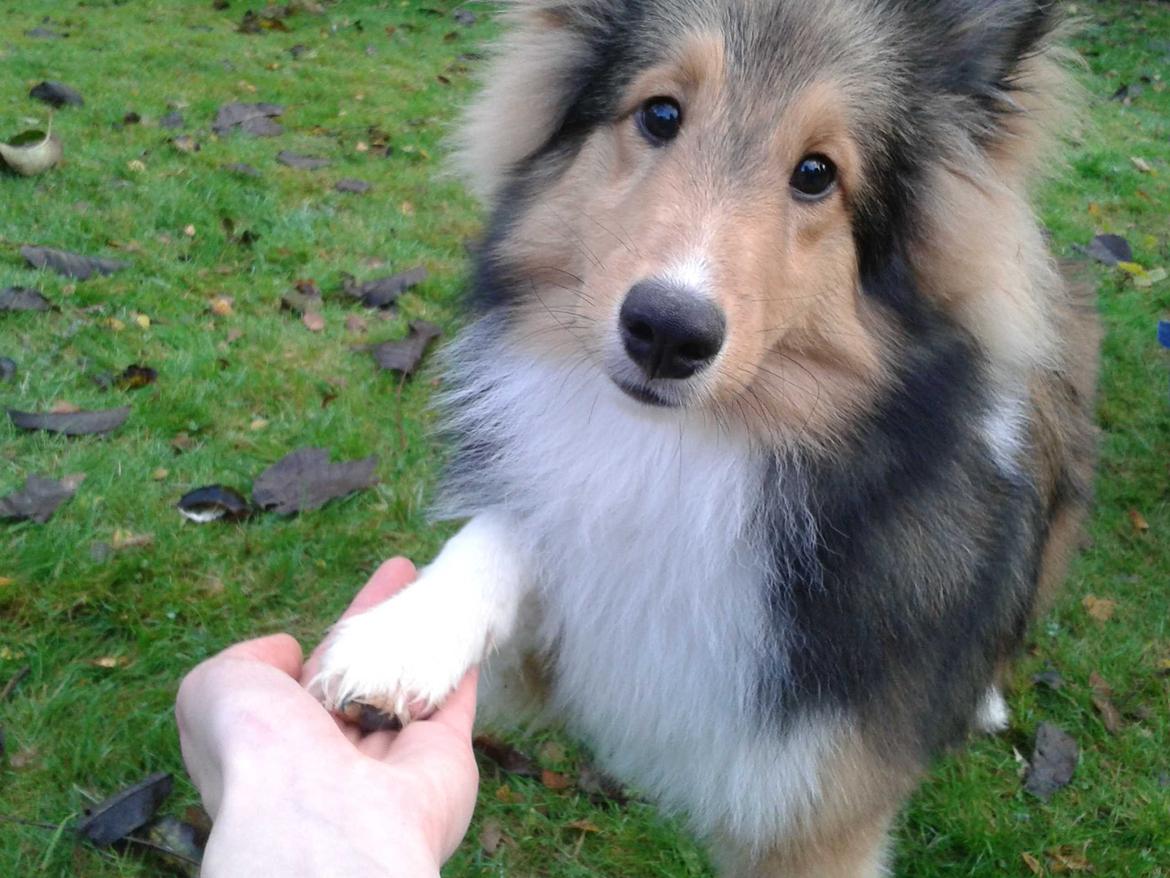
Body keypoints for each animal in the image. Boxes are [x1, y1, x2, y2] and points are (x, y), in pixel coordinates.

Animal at [311, 3, 1095, 875]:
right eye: (660, 114)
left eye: (817, 172)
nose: (665, 333)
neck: (691, 447)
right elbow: (518, 528)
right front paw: (403, 634)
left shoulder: (818, 812)